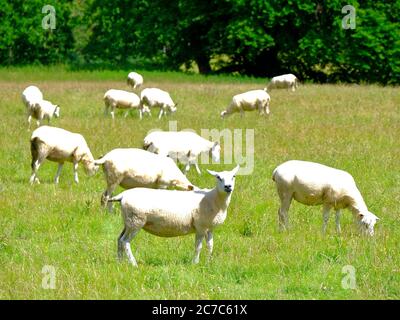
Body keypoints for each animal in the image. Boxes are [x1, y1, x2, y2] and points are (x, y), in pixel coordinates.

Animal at [108, 164, 239, 266]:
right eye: (218, 177)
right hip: (136, 221)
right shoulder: (200, 227)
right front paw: (195, 263)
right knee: (125, 241)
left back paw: (119, 262)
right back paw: (133, 263)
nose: (228, 187)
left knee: (119, 239)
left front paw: (208, 263)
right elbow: (198, 246)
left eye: (233, 176)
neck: (213, 199)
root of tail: (123, 195)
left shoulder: (210, 227)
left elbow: (210, 245)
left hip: (128, 221)